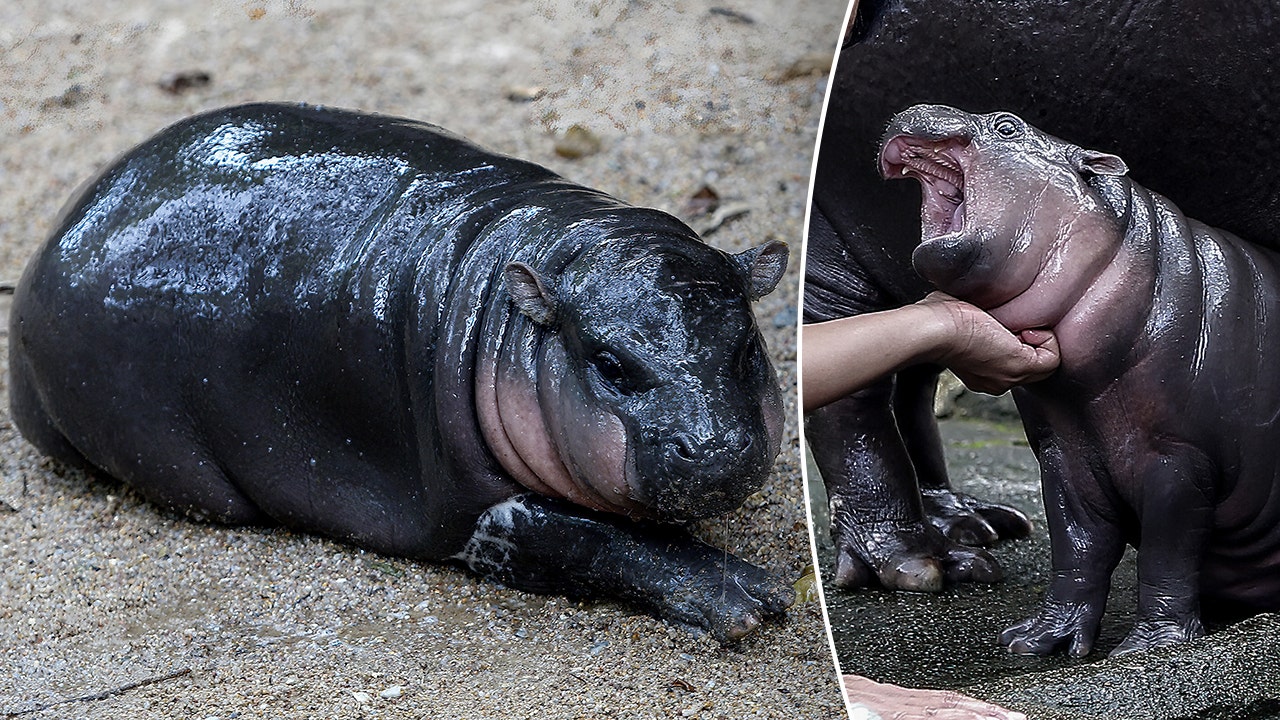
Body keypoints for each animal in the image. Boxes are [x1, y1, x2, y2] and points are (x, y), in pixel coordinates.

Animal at [9, 102, 794, 642]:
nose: (717, 445)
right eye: (609, 364)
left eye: (747, 349)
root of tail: (52, 242)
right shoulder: (484, 521)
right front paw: (748, 597)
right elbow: (599, 540)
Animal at [806, 0, 1280, 595]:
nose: (921, 106)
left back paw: (974, 523)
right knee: (855, 397)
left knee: (908, 382)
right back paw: (922, 563)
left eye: (1007, 125)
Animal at [879, 103, 1280, 656]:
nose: (917, 107)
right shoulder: (1063, 451)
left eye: (1007, 124)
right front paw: (1035, 639)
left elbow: (1167, 551)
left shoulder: (1178, 457)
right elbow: (1077, 545)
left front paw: (1149, 648)